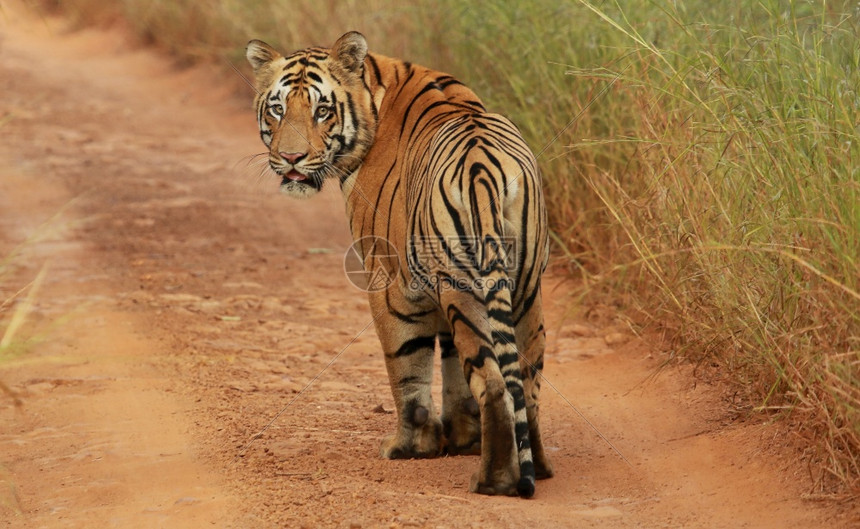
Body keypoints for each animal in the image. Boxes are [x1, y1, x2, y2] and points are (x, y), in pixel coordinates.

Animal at [245, 32, 556, 496]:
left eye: (322, 110)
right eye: (278, 108)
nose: (292, 158)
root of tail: (481, 167)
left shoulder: (390, 282)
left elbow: (407, 368)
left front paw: (411, 447)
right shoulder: (436, 288)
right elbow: (452, 368)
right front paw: (462, 438)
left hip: (468, 289)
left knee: (495, 382)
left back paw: (492, 481)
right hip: (523, 289)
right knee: (526, 384)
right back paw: (537, 465)